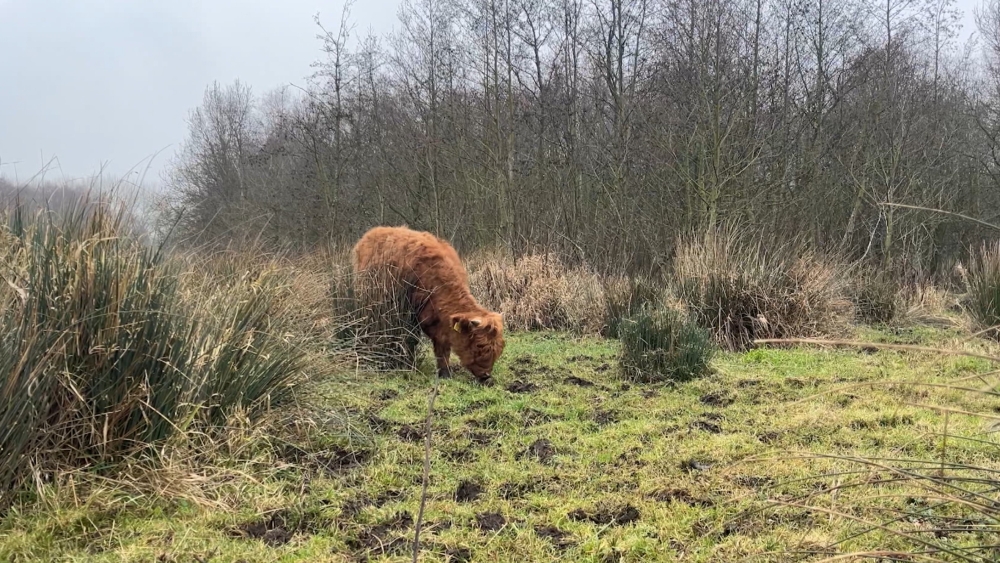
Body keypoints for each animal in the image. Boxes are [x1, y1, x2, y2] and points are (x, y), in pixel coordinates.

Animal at [354, 227, 508, 386]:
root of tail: (374, 231)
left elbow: (442, 347)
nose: (486, 376)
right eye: (479, 345)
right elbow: (411, 340)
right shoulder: (408, 317)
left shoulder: (440, 324)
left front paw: (445, 373)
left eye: (499, 347)